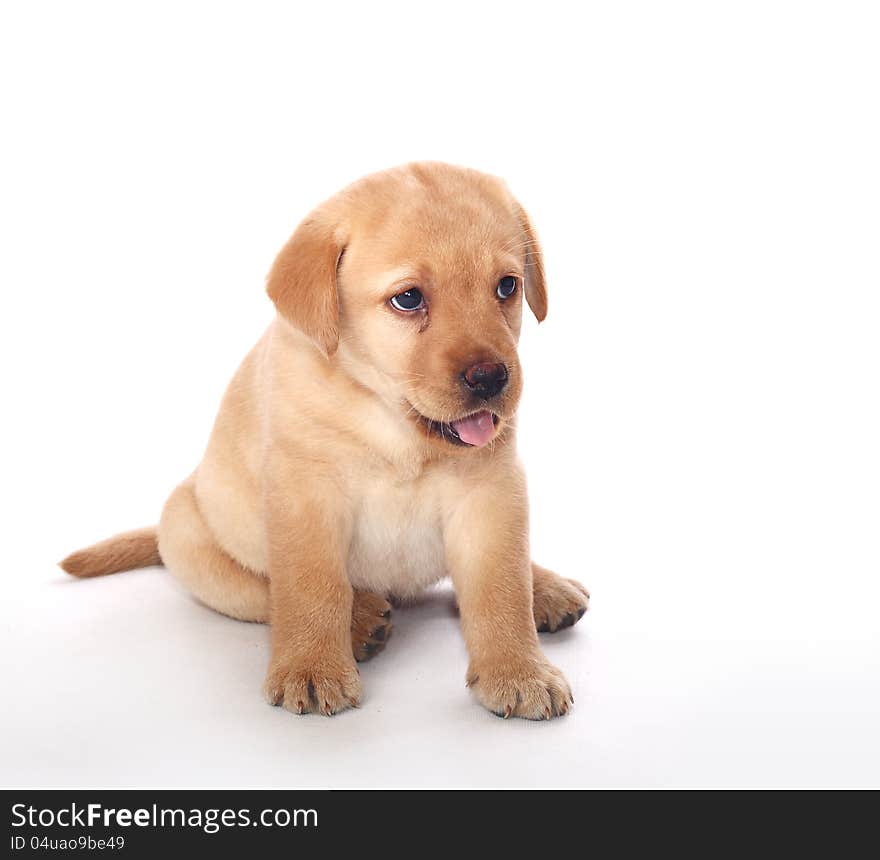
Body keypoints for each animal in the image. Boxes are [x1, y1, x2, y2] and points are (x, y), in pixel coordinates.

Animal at [62, 161, 592, 720]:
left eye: (507, 286)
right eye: (408, 298)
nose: (491, 378)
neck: (394, 426)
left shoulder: (492, 491)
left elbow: (500, 586)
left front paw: (518, 670)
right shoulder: (306, 496)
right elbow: (312, 588)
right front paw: (313, 667)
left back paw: (547, 588)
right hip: (193, 539)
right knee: (267, 595)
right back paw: (361, 620)